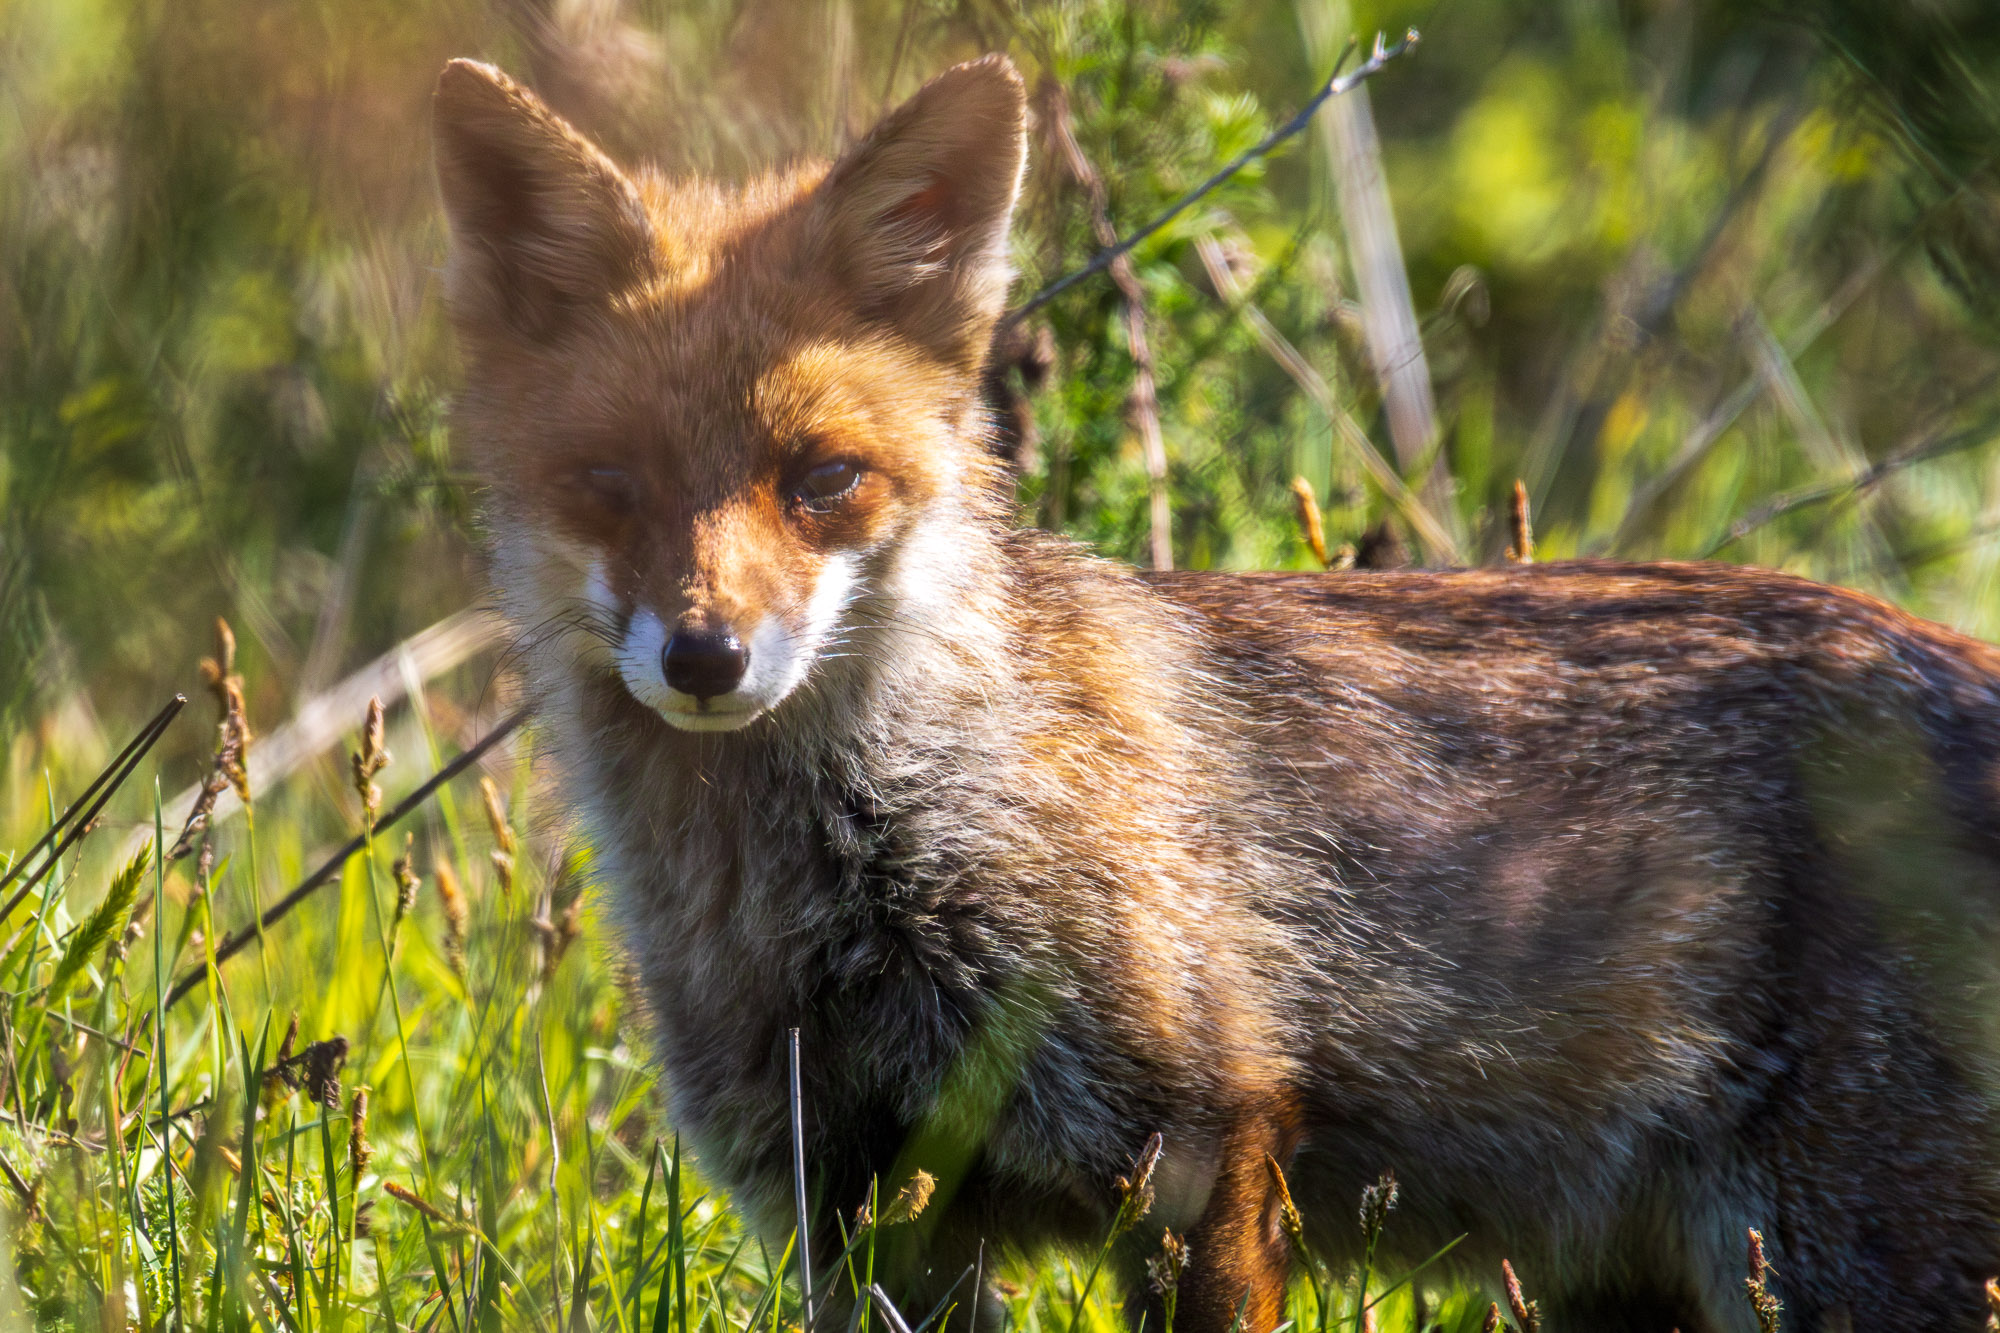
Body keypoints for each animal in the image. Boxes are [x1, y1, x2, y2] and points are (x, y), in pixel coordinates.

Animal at [432, 52, 2000, 1333]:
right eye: (608, 483)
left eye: (822, 480)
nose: (706, 657)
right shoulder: (859, 1214)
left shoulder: (1198, 1153)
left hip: (1842, 1264)